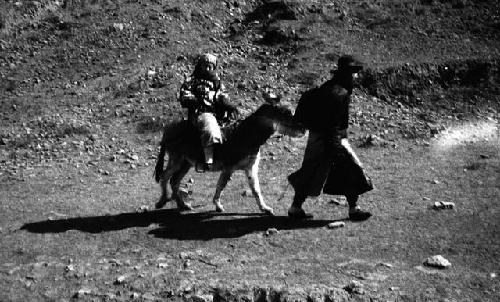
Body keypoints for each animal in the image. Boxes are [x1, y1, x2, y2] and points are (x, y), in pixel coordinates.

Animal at [153, 97, 304, 215]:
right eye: (287, 112)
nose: (303, 129)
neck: (245, 136)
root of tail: (168, 129)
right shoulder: (228, 168)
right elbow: (221, 186)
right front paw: (218, 205)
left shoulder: (250, 168)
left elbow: (256, 189)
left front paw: (265, 208)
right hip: (176, 159)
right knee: (165, 177)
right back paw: (162, 201)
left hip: (186, 163)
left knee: (174, 180)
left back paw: (182, 205)